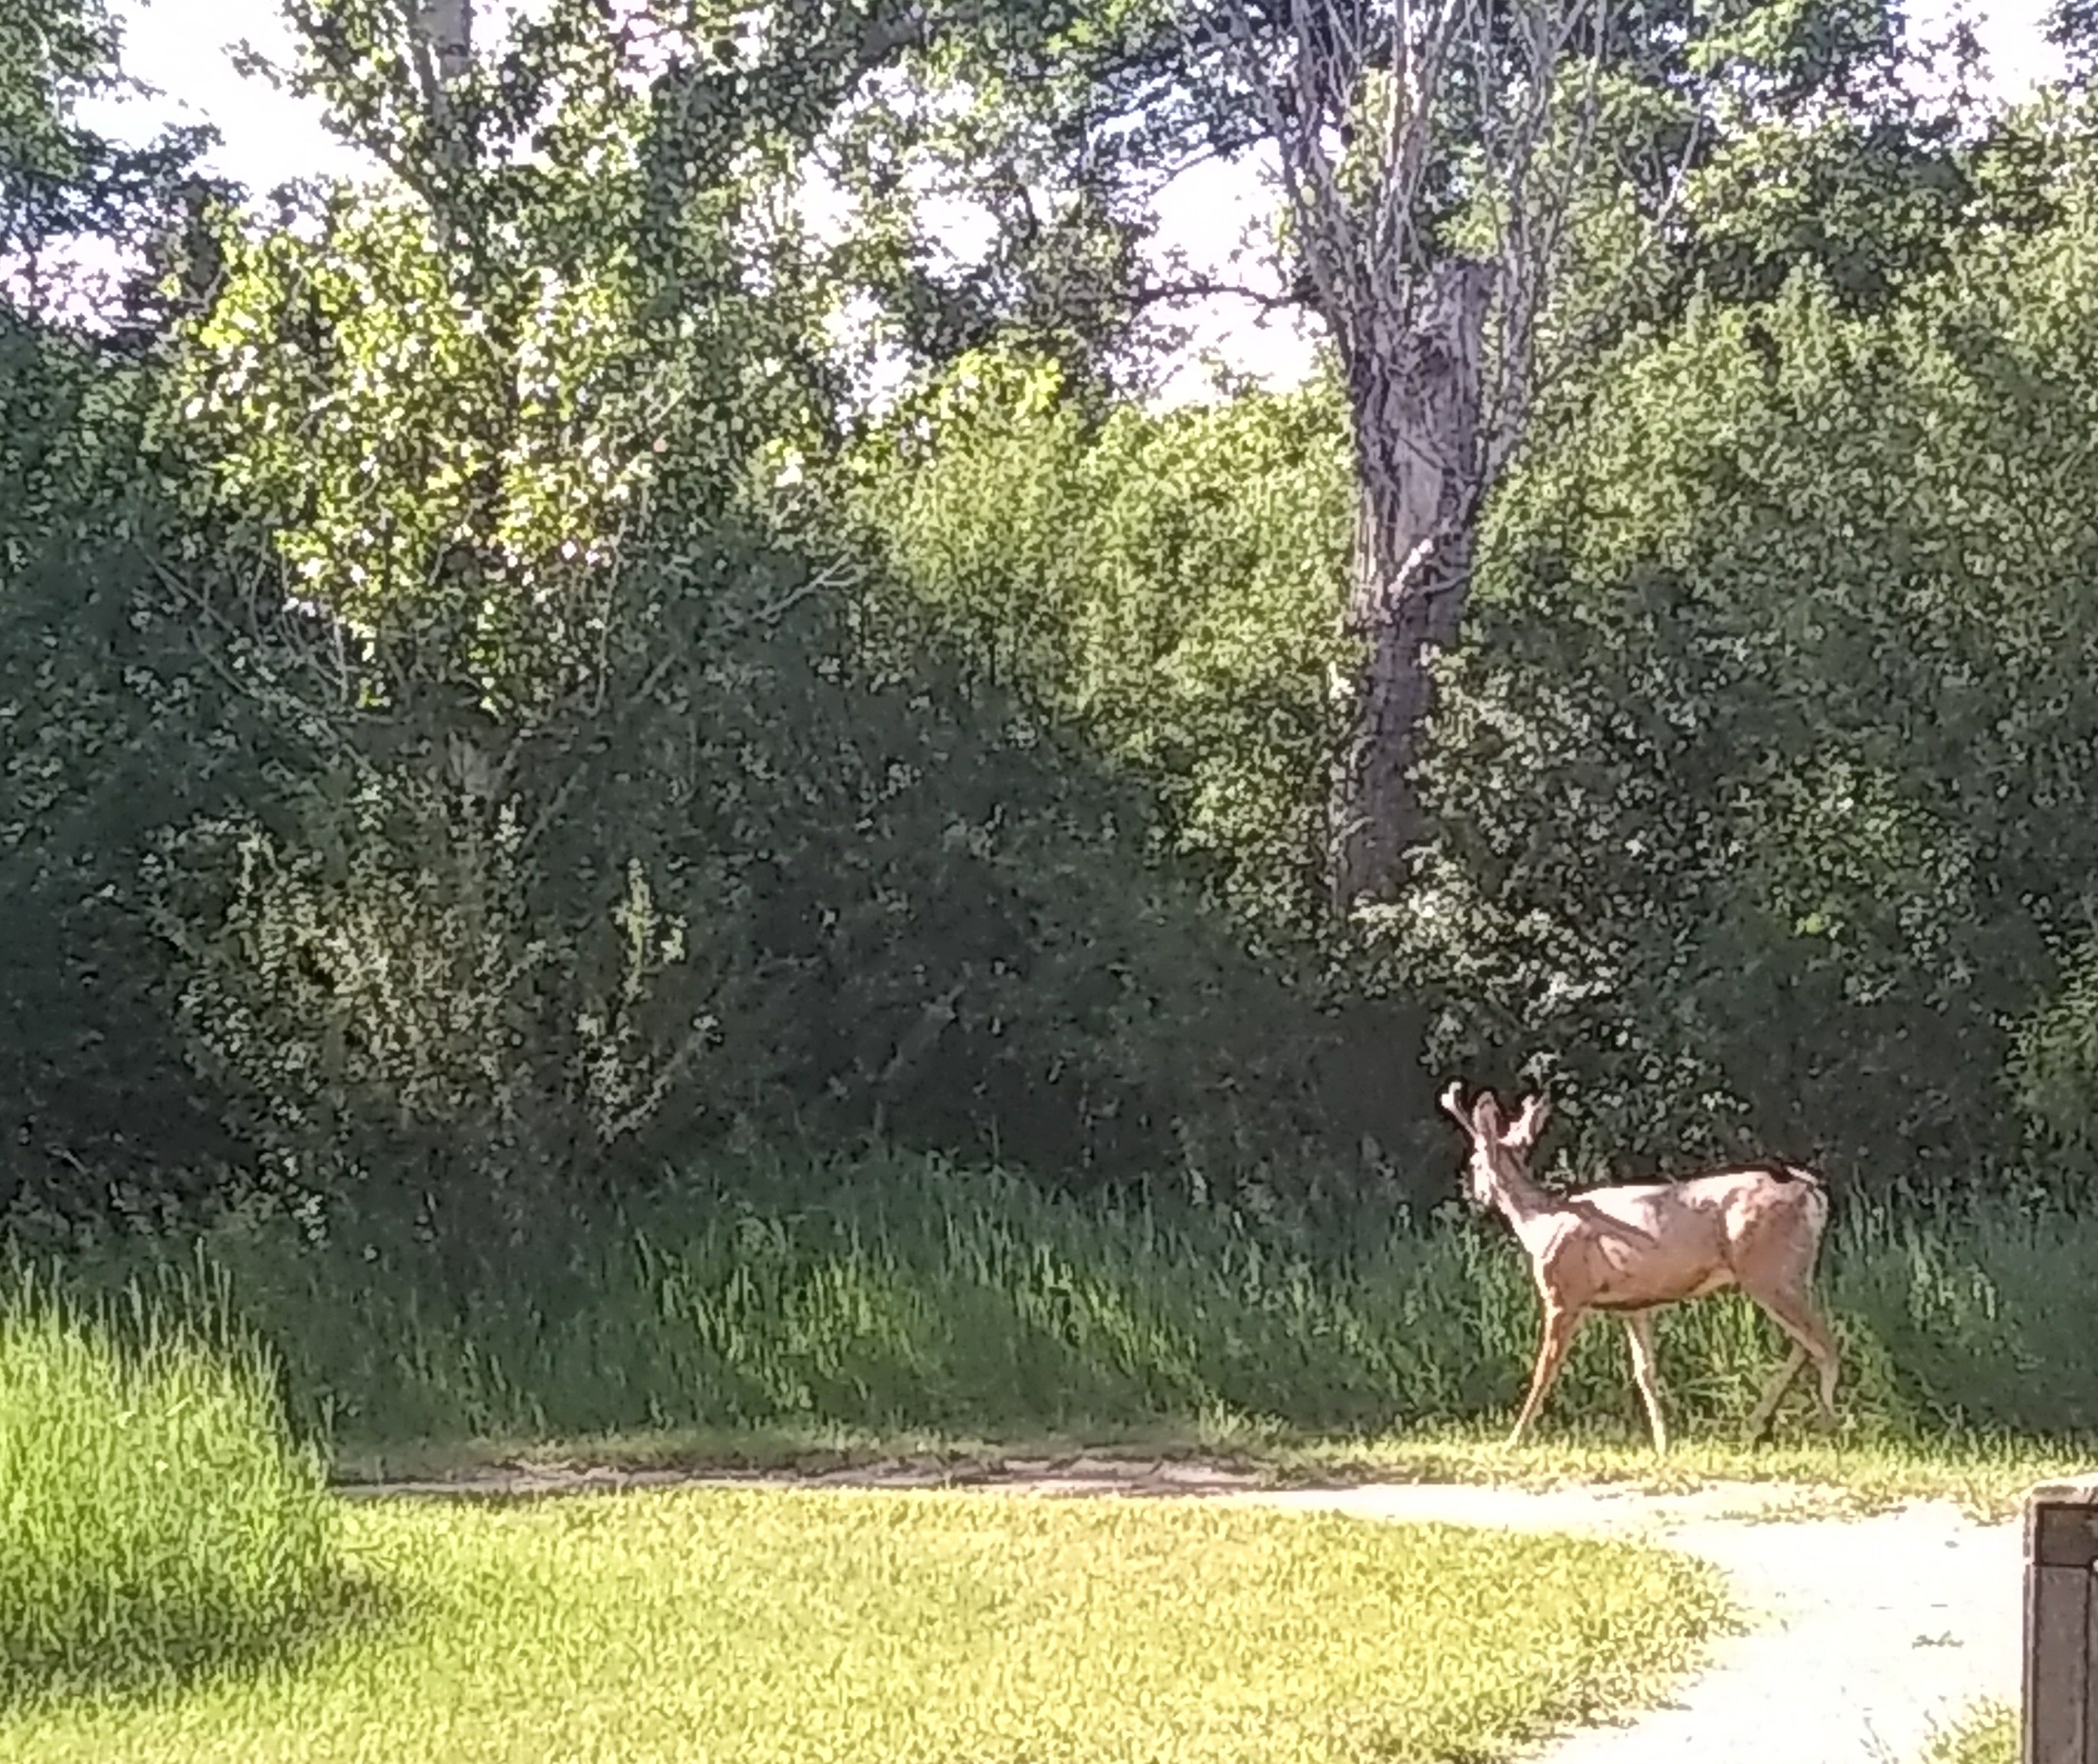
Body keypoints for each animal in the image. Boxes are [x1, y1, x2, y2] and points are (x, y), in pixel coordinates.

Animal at [1439, 1081, 1841, 1453]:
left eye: (1474, 1163)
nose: (1474, 1196)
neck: (1538, 1222)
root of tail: (1813, 1192)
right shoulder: (1633, 1306)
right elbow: (1645, 1372)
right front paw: (1663, 1443)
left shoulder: (1563, 1294)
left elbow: (1544, 1370)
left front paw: (1512, 1440)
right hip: (1789, 1274)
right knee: (1806, 1343)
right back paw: (1755, 1427)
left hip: (1770, 1271)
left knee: (1824, 1343)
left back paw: (1827, 1429)